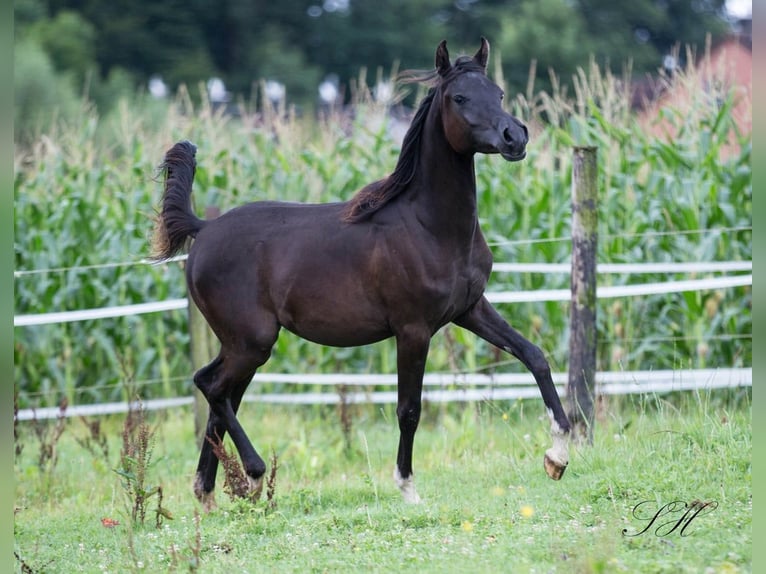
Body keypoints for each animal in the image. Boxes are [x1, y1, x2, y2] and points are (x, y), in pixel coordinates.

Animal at [153, 38, 568, 510]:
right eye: (460, 98)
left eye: (497, 93)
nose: (515, 137)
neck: (430, 227)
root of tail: (202, 229)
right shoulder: (413, 329)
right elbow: (409, 409)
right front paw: (407, 486)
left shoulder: (471, 310)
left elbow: (534, 355)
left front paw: (557, 456)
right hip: (251, 341)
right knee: (211, 386)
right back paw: (254, 476)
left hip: (243, 345)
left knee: (220, 395)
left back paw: (211, 493)